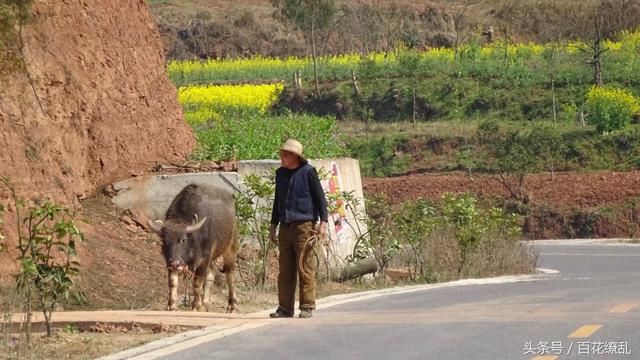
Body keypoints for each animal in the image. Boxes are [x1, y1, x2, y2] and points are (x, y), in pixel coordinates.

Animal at [149, 183, 239, 312]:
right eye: (164, 240)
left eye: (183, 240)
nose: (175, 263)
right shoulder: (171, 261)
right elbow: (172, 282)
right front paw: (172, 306)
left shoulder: (204, 259)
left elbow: (197, 283)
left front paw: (196, 306)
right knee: (211, 274)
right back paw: (205, 304)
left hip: (231, 247)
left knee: (230, 274)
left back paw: (232, 306)